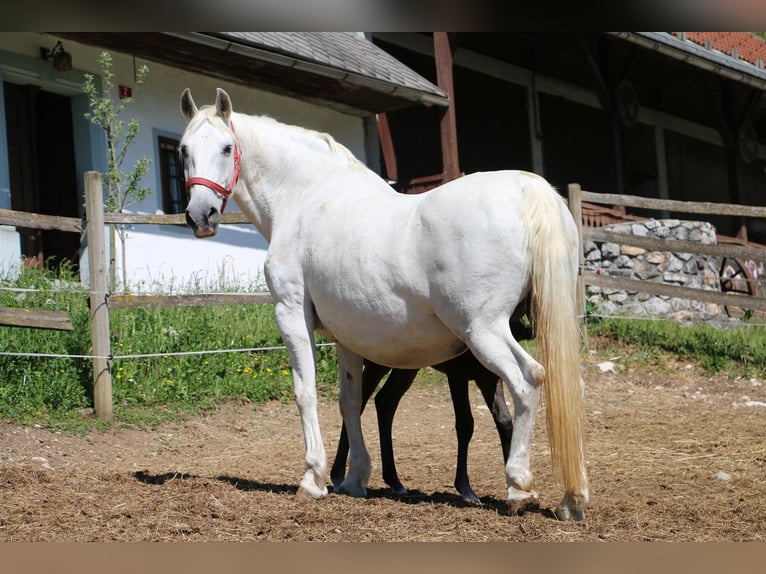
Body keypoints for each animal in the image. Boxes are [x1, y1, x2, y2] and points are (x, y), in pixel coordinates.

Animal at [330, 322, 536, 506]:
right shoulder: (457, 375)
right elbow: (465, 424)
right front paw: (466, 489)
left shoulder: (490, 378)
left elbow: (505, 422)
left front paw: (515, 488)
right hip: (377, 364)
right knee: (359, 402)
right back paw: (338, 475)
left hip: (406, 367)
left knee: (385, 402)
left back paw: (394, 482)